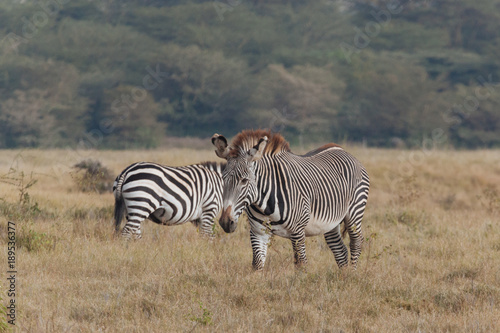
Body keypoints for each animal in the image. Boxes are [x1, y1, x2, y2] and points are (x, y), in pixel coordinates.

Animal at [212, 130, 372, 270]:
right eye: (223, 179)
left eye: (244, 181)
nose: (225, 222)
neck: (263, 204)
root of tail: (343, 150)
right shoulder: (258, 232)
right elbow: (257, 264)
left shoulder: (298, 232)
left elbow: (301, 265)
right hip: (331, 222)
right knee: (340, 250)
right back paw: (343, 277)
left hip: (355, 212)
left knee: (356, 243)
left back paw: (352, 275)